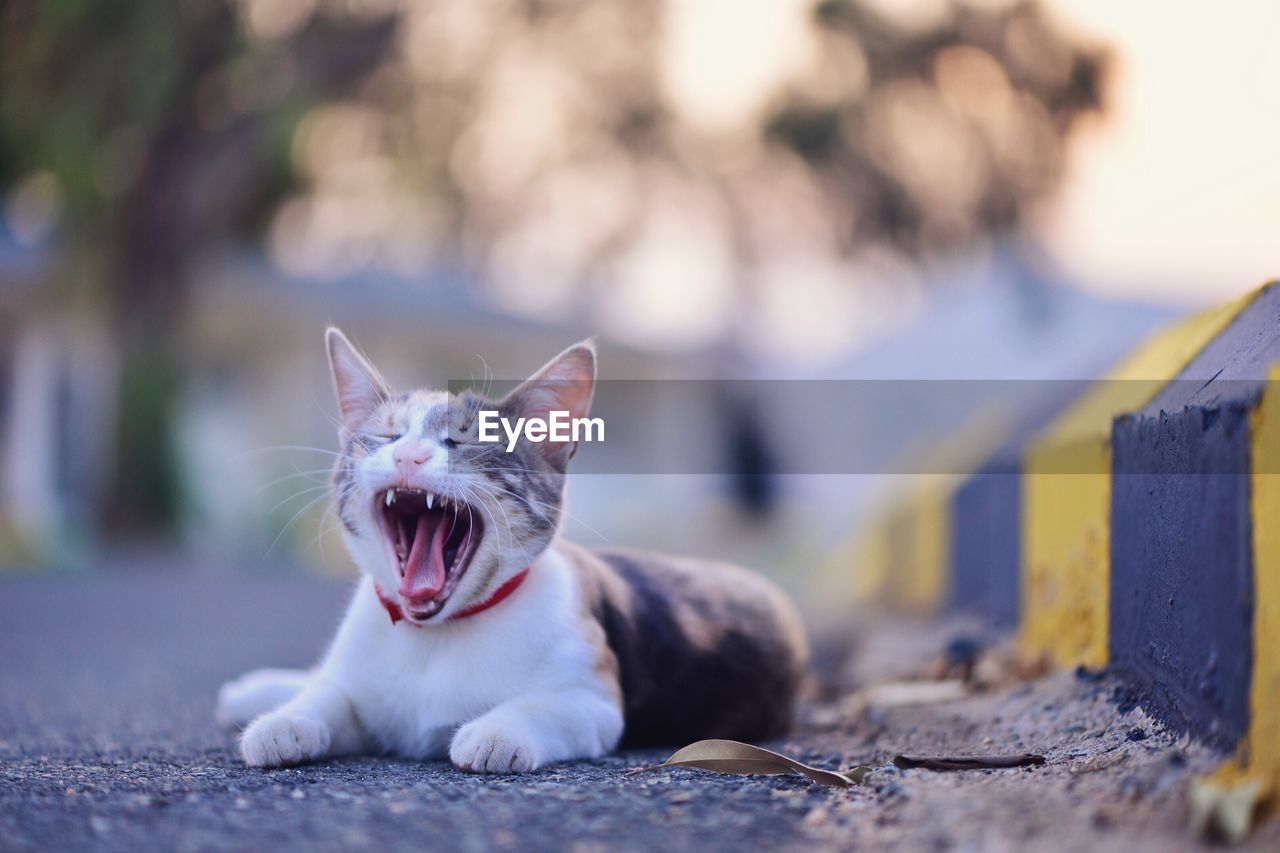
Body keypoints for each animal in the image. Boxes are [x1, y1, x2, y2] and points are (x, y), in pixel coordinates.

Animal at [215, 330, 803, 768]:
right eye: (386, 437)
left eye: (462, 440)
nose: (407, 455)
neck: (434, 639)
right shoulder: (359, 684)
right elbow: (332, 695)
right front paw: (286, 721)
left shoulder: (595, 699)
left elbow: (547, 708)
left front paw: (498, 733)